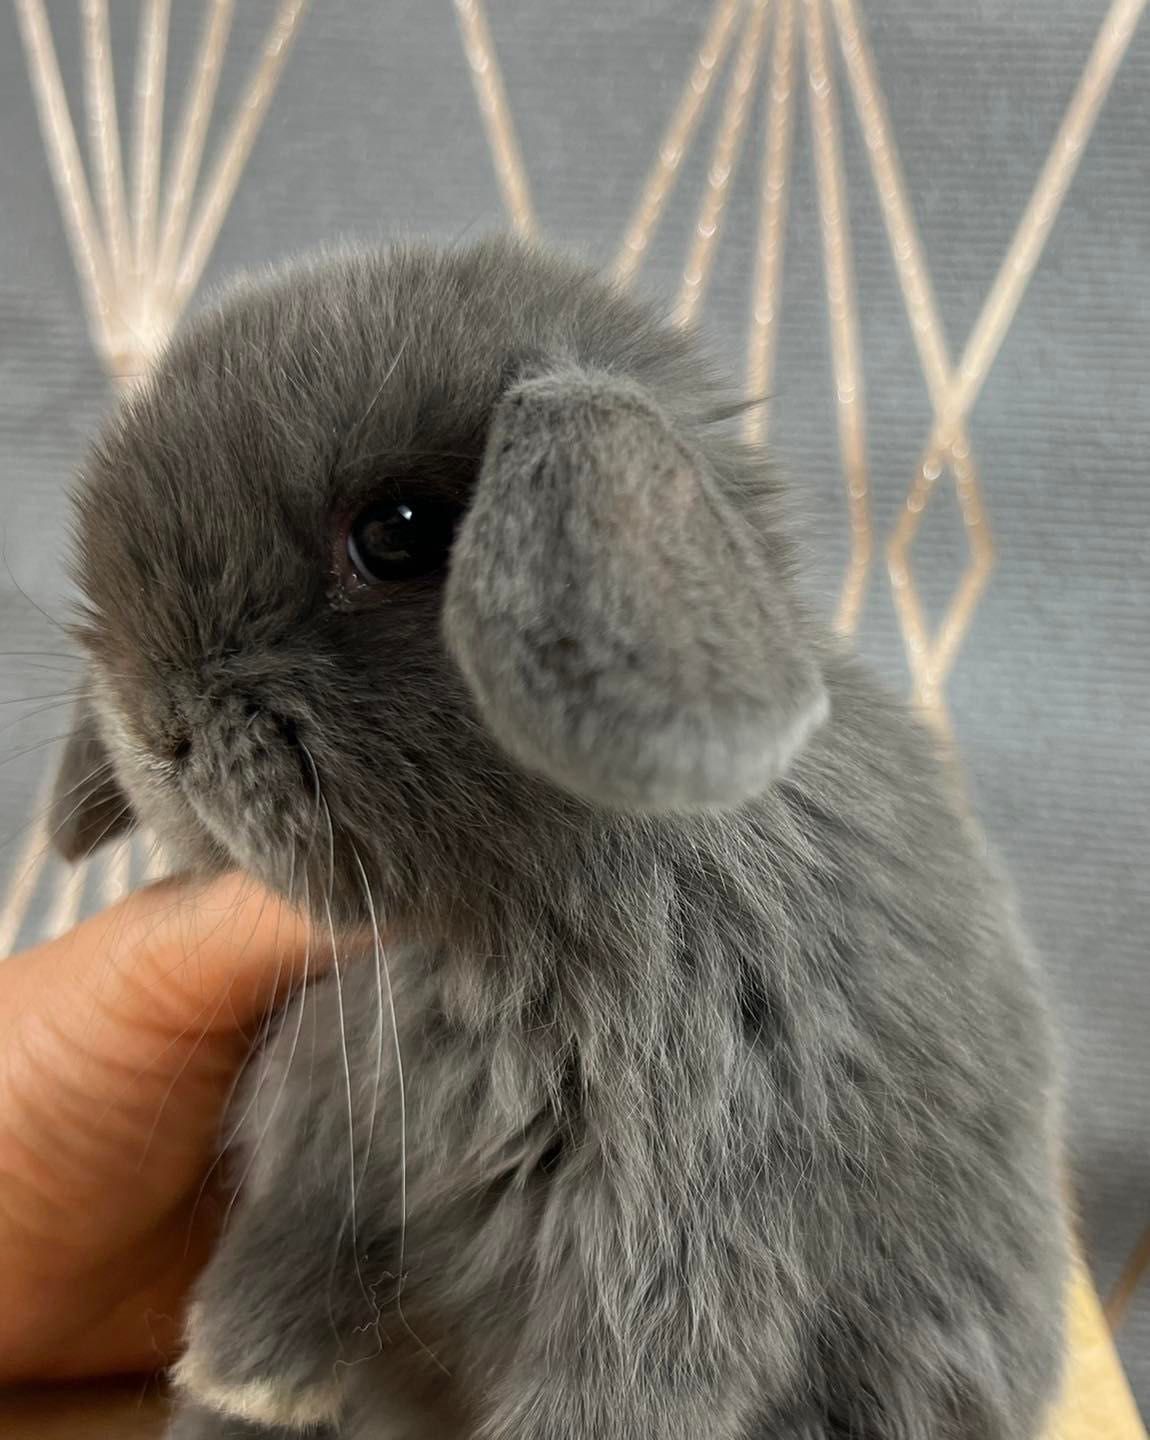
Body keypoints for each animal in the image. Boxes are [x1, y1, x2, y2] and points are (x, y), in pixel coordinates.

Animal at [53, 239, 1065, 1440]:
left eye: (397, 534)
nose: (154, 727)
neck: (491, 922)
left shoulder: (674, 1247)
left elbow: (614, 1392)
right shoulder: (328, 1160)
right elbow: (263, 1322)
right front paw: (236, 1403)